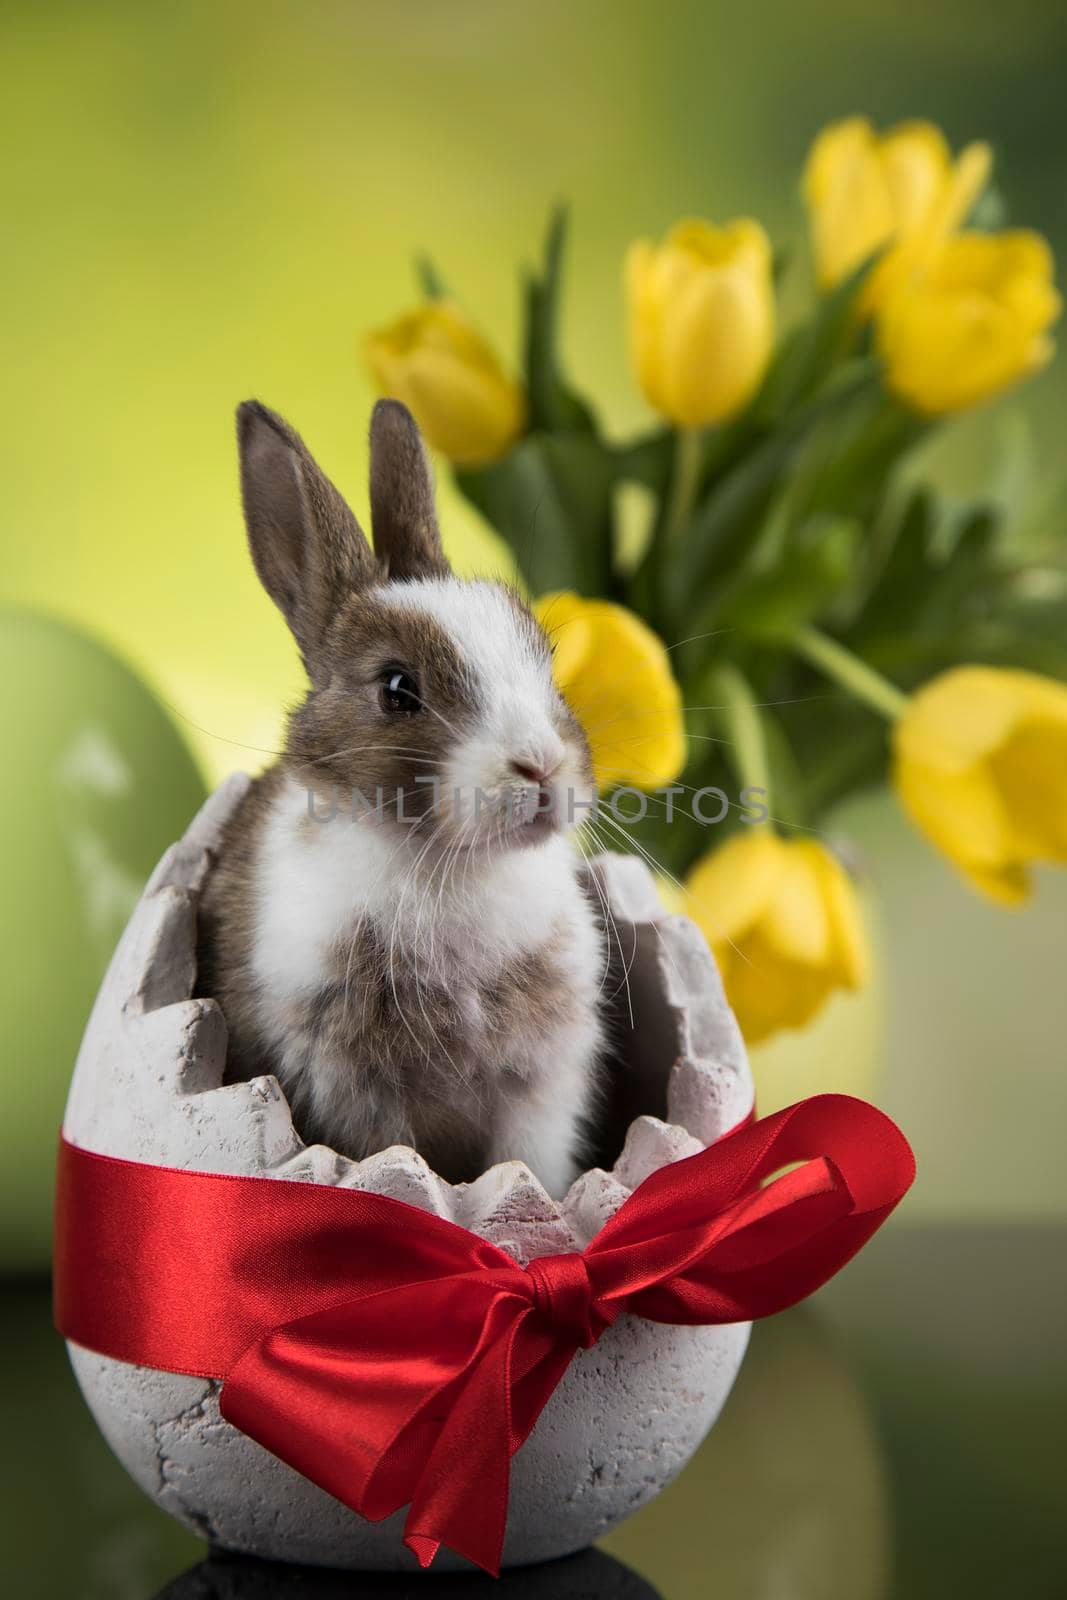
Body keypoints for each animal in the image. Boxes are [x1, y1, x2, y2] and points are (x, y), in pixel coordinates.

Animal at [195, 400, 604, 1203]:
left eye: (545, 661)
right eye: (396, 688)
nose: (542, 766)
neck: (453, 868)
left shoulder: (540, 1088)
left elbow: (526, 1167)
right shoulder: (350, 1088)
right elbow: (394, 1162)